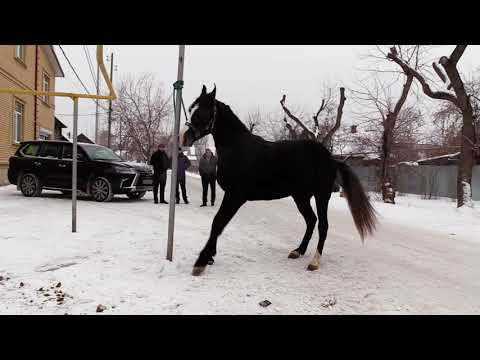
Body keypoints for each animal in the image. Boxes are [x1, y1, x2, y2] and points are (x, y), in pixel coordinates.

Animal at [182, 84, 376, 276]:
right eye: (191, 109)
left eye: (202, 112)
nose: (184, 138)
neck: (238, 149)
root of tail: (331, 159)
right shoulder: (232, 196)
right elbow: (218, 223)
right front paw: (209, 257)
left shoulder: (235, 196)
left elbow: (218, 223)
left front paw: (201, 262)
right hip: (301, 197)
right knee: (311, 220)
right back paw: (298, 251)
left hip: (321, 196)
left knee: (323, 225)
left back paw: (314, 261)